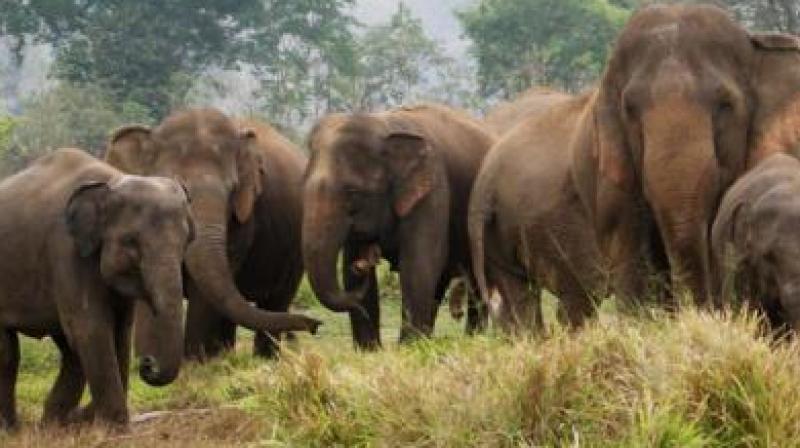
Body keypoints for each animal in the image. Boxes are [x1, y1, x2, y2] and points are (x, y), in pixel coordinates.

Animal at [0, 149, 193, 428]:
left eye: (186, 241)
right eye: (130, 242)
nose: (147, 363)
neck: (111, 182)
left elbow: (119, 329)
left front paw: (92, 421)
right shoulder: (65, 250)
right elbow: (92, 327)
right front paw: (115, 427)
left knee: (64, 348)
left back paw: (51, 425)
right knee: (12, 351)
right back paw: (18, 429)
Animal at [105, 108, 320, 360]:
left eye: (232, 189)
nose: (316, 325)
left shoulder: (243, 219)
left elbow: (204, 293)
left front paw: (193, 364)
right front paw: (150, 362)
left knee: (275, 301)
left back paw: (261, 360)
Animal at [302, 104, 494, 349]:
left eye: (352, 192)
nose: (365, 263)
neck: (383, 125)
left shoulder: (433, 190)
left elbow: (419, 263)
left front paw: (409, 348)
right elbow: (350, 268)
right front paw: (369, 351)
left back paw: (472, 339)